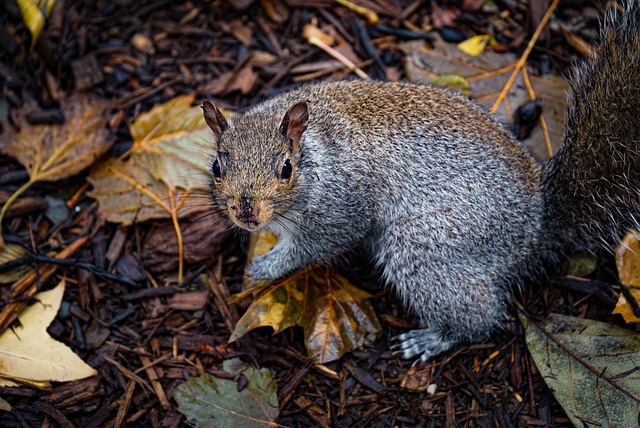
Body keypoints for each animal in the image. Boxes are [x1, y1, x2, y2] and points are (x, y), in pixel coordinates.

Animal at [202, 0, 640, 362]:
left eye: (286, 169)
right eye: (217, 167)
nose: (247, 213)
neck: (318, 153)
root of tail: (538, 220)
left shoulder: (343, 206)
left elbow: (313, 246)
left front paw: (265, 267)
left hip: (429, 243)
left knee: (481, 315)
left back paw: (433, 339)